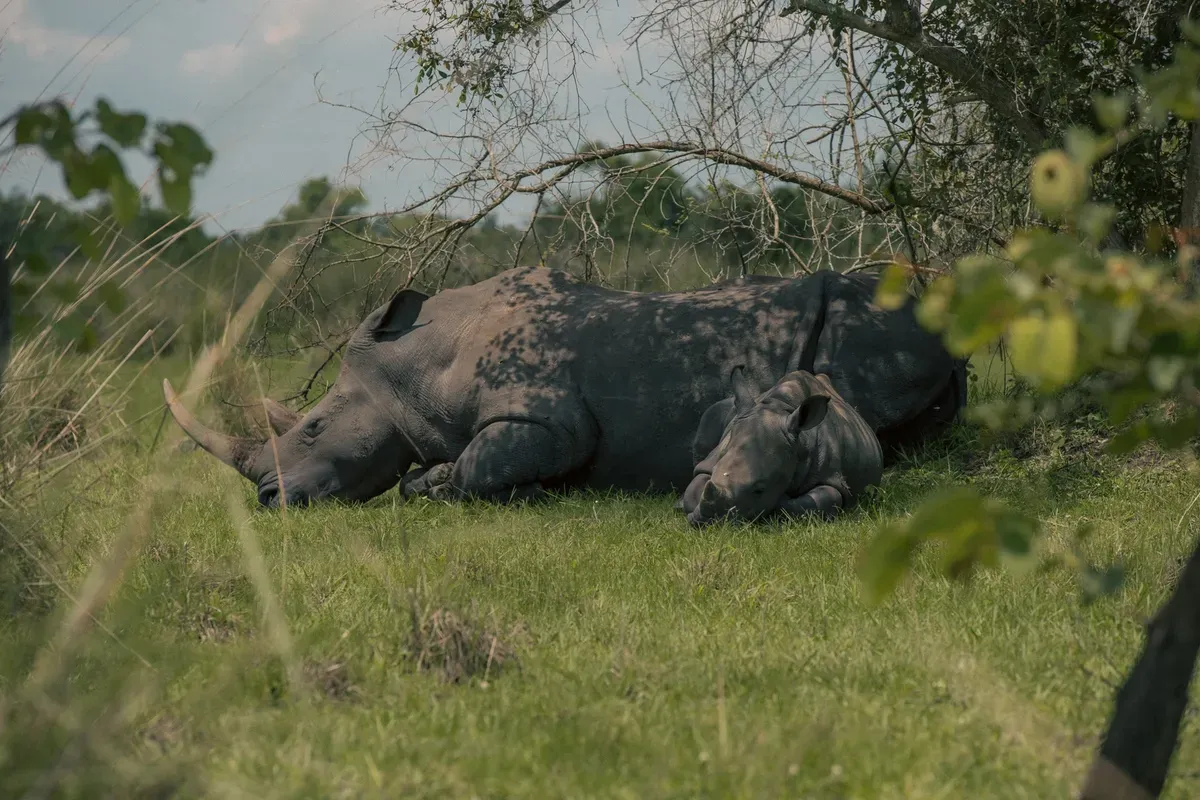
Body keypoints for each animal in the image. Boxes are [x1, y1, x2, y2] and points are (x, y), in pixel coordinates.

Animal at [163, 266, 963, 508]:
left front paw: (438, 483)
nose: (268, 499)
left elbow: (480, 465)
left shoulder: (548, 421)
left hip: (873, 327)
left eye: (313, 427)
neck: (418, 369)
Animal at [678, 366, 883, 526]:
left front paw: (779, 500)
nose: (707, 523)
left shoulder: (832, 477)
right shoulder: (712, 461)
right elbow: (694, 487)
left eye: (759, 490)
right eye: (714, 471)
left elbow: (823, 499)